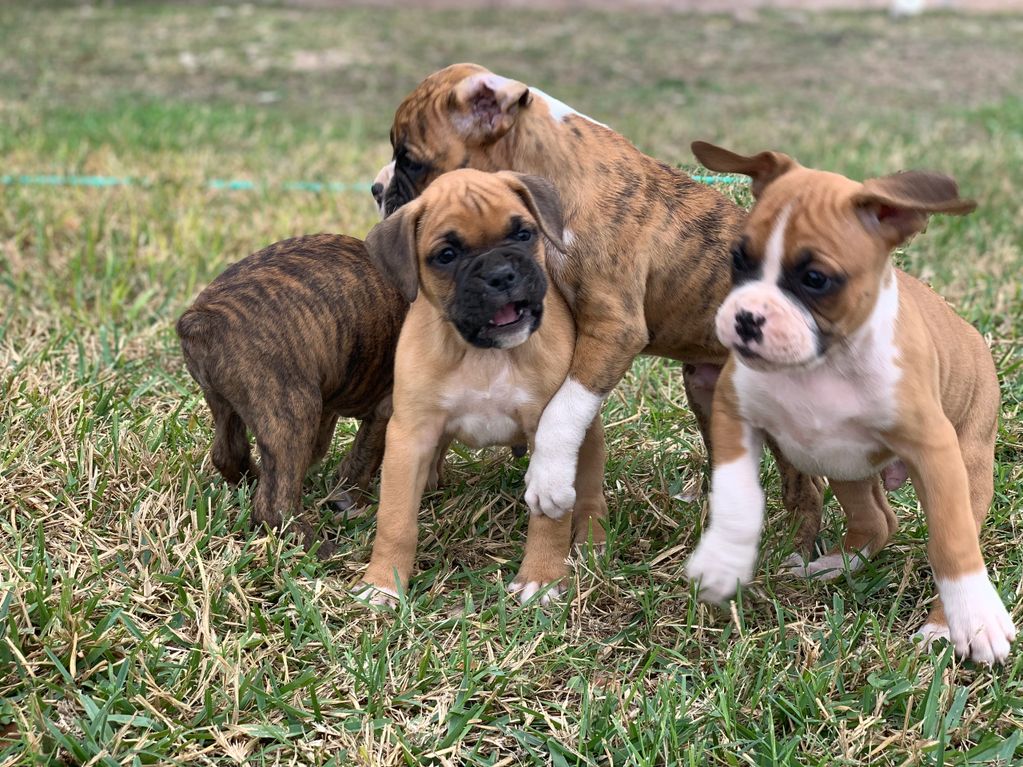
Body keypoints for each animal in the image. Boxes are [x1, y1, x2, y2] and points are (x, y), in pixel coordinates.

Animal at [178, 231, 405, 556]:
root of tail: (203, 320)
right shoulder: (387, 409)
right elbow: (367, 455)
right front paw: (350, 499)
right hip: (294, 410)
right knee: (274, 506)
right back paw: (318, 549)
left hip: (227, 404)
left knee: (228, 454)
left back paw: (253, 482)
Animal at [358, 167, 605, 605]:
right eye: (446, 256)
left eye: (523, 234)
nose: (500, 275)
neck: (483, 354)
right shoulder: (410, 436)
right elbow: (395, 519)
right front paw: (383, 583)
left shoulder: (545, 433)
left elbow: (549, 518)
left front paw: (541, 578)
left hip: (587, 436)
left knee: (590, 492)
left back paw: (591, 536)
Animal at [683, 143, 1010, 666]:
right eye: (738, 258)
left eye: (816, 279)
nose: (747, 318)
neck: (824, 364)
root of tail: (969, 331)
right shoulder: (734, 412)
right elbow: (737, 494)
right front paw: (723, 559)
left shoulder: (935, 452)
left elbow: (952, 540)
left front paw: (975, 620)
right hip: (844, 465)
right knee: (878, 521)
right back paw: (833, 566)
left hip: (967, 463)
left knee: (951, 527)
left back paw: (943, 625)